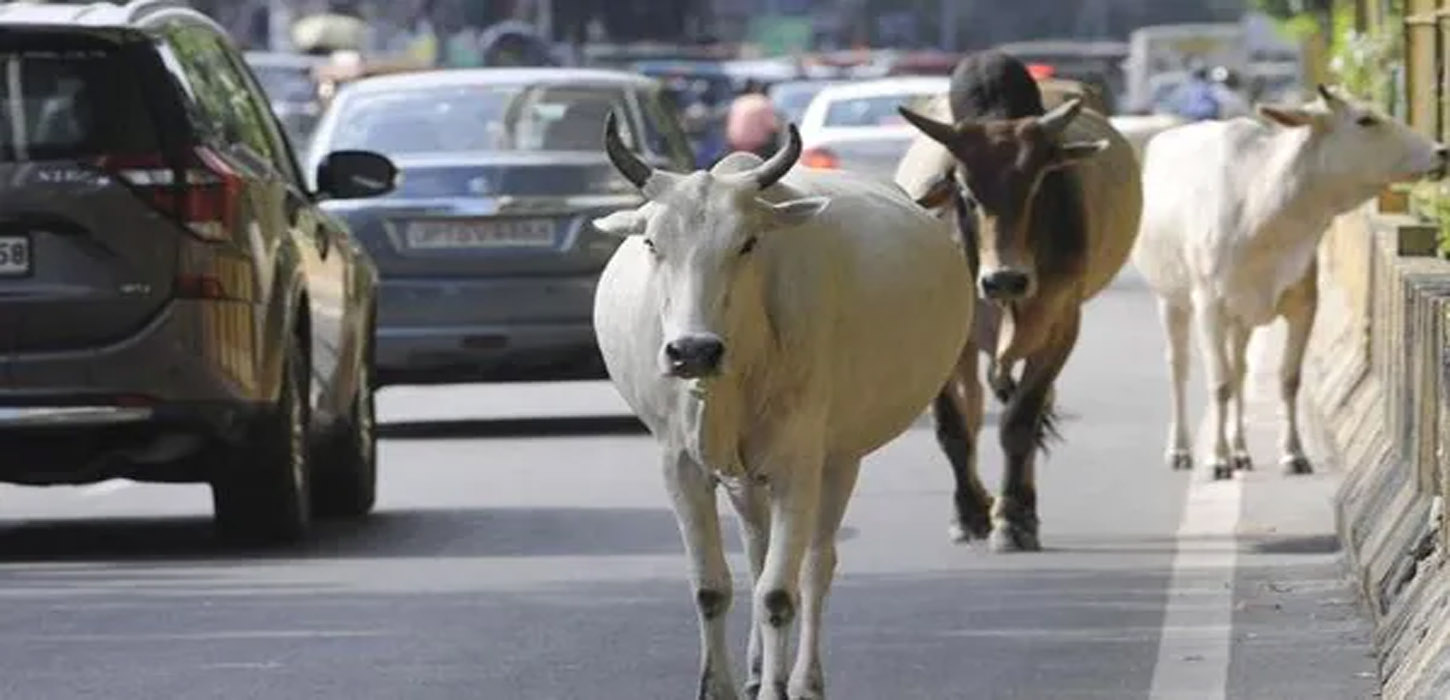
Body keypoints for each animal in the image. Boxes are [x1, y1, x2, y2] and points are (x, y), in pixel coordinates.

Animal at [588, 113, 974, 695]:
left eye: (747, 244)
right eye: (653, 242)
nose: (693, 351)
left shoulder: (800, 462)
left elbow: (777, 593)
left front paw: (777, 687)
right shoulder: (680, 464)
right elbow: (710, 587)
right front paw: (718, 687)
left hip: (839, 459)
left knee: (814, 566)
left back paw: (805, 679)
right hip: (748, 477)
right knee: (756, 550)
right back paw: (753, 669)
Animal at [887, 49, 1136, 553]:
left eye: (1038, 184)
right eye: (963, 190)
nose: (1005, 280)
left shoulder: (1062, 326)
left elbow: (1021, 421)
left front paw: (1014, 519)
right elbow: (952, 429)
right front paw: (969, 513)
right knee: (975, 407)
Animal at [1131, 86, 1450, 481]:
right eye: (1365, 119)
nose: (1441, 151)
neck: (1263, 211)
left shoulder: (1304, 305)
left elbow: (1288, 379)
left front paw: (1293, 453)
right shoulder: (1209, 306)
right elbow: (1219, 384)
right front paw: (1217, 459)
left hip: (1241, 318)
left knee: (1240, 369)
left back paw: (1241, 451)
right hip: (1171, 299)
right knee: (1179, 366)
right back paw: (1181, 449)